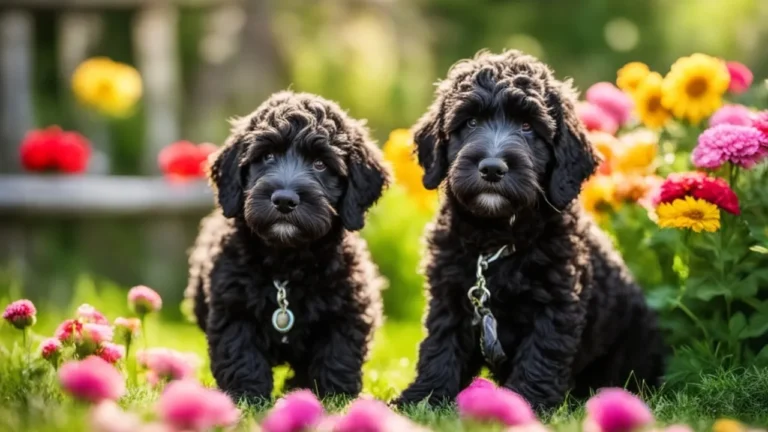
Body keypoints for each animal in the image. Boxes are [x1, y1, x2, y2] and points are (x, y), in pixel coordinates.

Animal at [185, 90, 388, 402]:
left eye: (320, 164)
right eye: (267, 156)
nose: (283, 200)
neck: (287, 264)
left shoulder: (348, 310)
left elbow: (338, 355)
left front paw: (334, 397)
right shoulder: (233, 308)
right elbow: (240, 353)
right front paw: (247, 397)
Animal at [392, 50, 664, 408]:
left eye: (527, 126)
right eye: (471, 123)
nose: (492, 168)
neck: (495, 243)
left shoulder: (556, 302)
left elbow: (542, 352)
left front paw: (525, 402)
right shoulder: (449, 296)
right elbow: (440, 345)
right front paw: (423, 398)